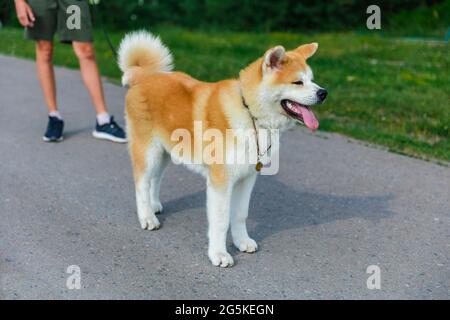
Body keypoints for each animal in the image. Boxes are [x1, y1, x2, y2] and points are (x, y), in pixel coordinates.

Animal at [116, 31, 326, 268]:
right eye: (298, 82)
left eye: (312, 79)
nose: (324, 93)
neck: (249, 112)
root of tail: (144, 76)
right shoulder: (221, 182)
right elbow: (221, 220)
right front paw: (218, 254)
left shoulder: (246, 178)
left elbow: (240, 214)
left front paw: (241, 241)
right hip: (148, 151)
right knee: (141, 183)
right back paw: (147, 217)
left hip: (165, 153)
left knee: (155, 179)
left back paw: (154, 206)